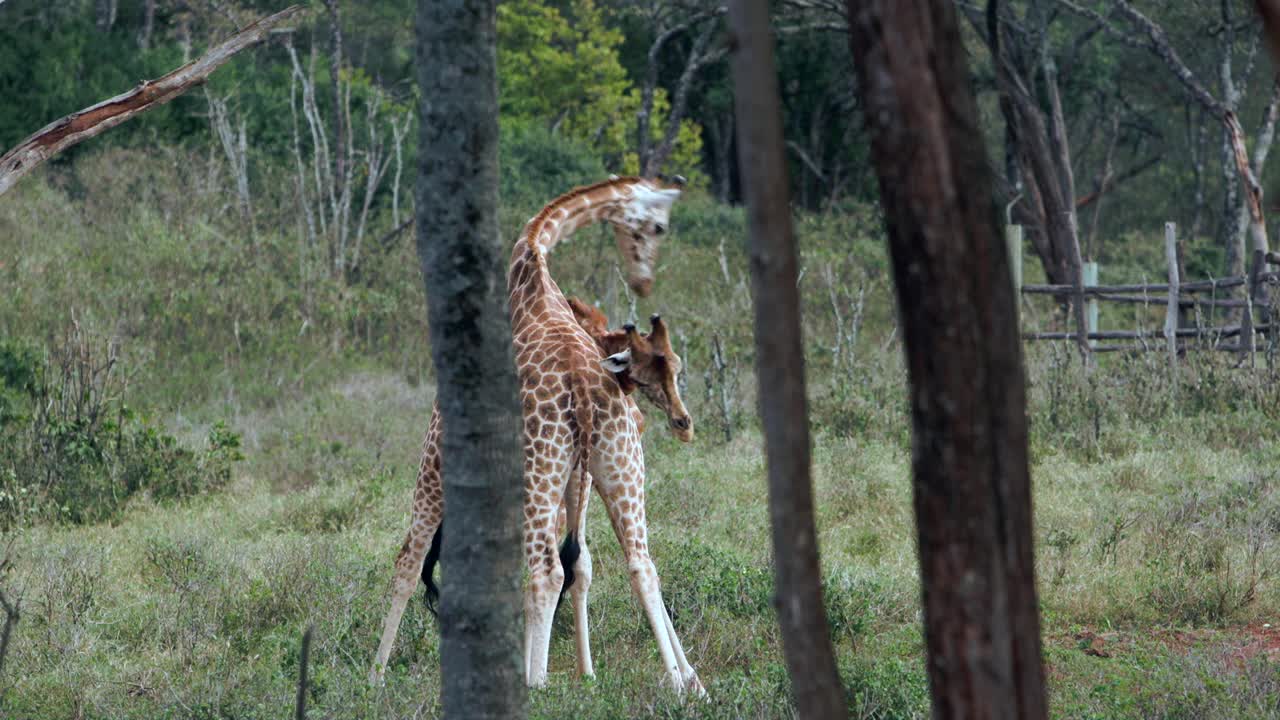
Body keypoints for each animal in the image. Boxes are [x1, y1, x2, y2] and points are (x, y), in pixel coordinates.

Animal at [371, 174, 711, 691]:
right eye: (657, 225)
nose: (644, 281)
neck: (529, 267)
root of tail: (584, 392)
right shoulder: (574, 478)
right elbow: (580, 564)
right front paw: (585, 672)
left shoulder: (436, 449)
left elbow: (409, 562)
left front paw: (374, 676)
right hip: (617, 466)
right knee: (639, 563)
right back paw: (682, 684)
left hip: (536, 471)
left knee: (542, 571)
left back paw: (535, 682)